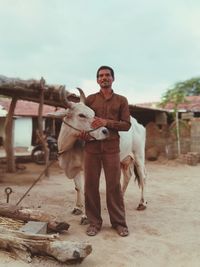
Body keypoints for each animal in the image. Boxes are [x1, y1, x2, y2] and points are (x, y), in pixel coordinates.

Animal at [50, 88, 146, 224]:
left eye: (93, 113)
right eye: (81, 115)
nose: (105, 131)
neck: (69, 147)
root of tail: (137, 124)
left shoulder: (87, 168)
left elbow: (86, 189)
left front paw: (85, 216)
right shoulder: (76, 169)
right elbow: (78, 188)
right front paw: (77, 208)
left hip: (139, 157)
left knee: (143, 178)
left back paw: (142, 203)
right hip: (124, 160)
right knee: (127, 176)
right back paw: (121, 197)